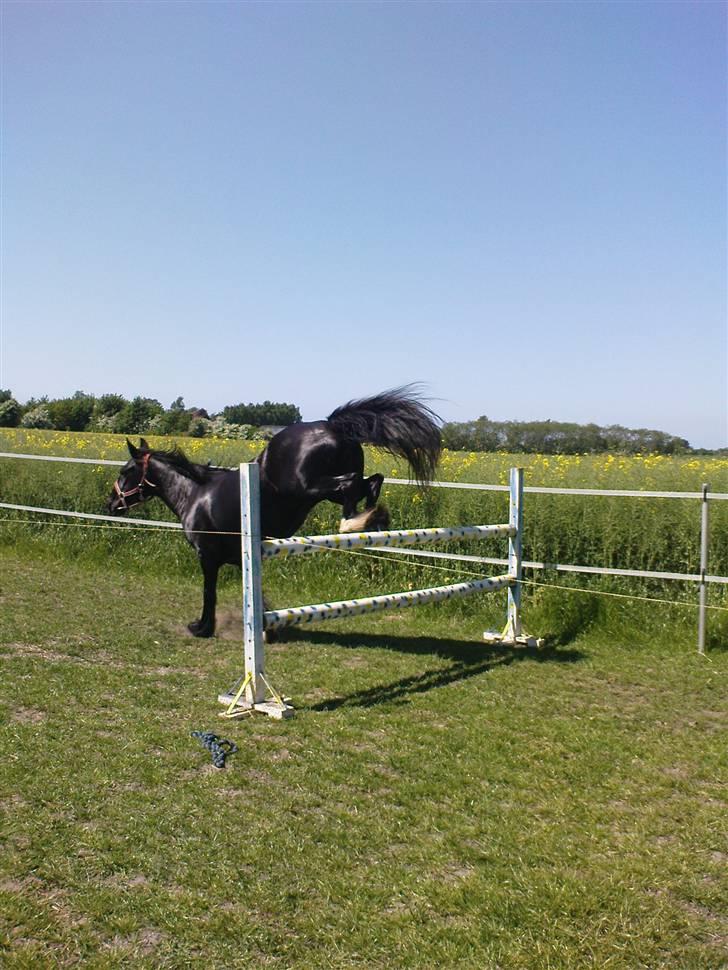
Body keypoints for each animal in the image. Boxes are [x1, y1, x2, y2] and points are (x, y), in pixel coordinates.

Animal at [107, 386, 441, 637]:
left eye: (126, 471)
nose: (110, 503)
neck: (195, 493)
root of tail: (331, 425)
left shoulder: (208, 557)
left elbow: (209, 592)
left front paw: (202, 627)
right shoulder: (242, 556)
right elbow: (254, 593)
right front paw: (264, 626)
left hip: (309, 488)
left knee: (350, 486)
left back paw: (351, 523)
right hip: (333, 487)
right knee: (371, 483)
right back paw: (372, 518)